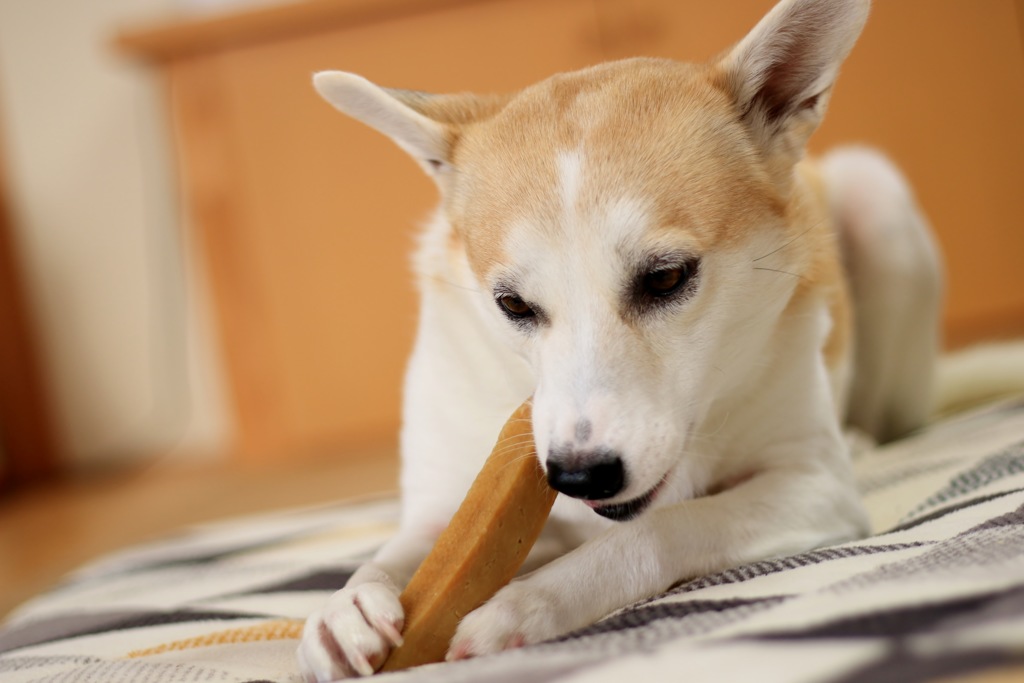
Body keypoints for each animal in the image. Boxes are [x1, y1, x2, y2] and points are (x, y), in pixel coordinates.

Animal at [292, 0, 937, 679]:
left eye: (667, 278)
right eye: (512, 304)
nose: (579, 477)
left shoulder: (814, 486)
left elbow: (660, 528)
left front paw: (531, 602)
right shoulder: (440, 507)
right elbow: (402, 554)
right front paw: (343, 609)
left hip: (878, 201)